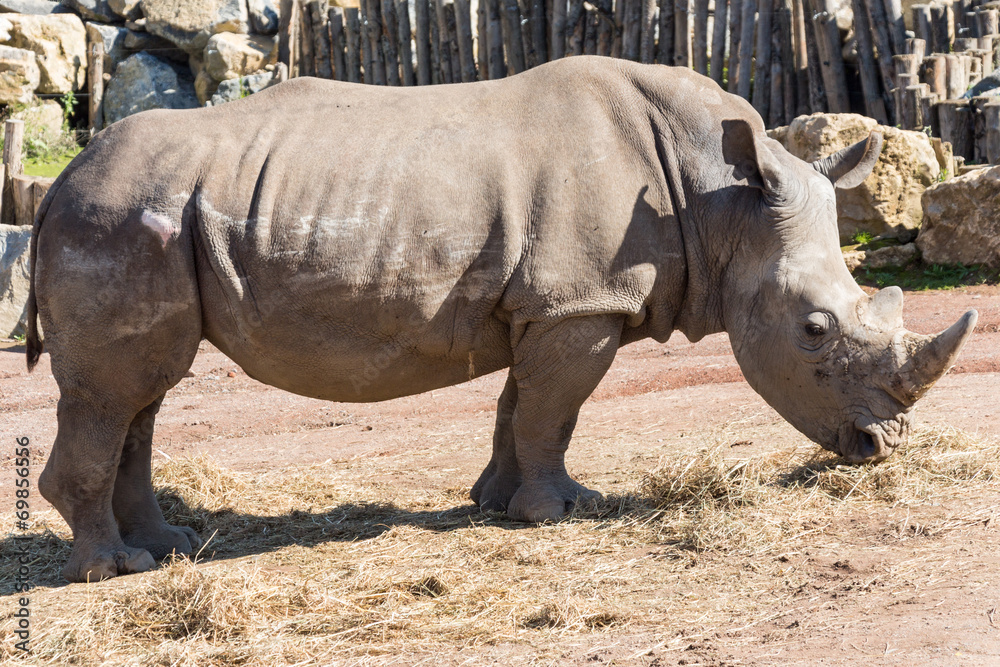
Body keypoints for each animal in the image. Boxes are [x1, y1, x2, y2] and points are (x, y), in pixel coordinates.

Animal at [25, 57, 976, 583]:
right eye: (814, 329)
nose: (879, 448)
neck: (720, 201)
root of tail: (56, 184)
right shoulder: (580, 302)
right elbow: (556, 409)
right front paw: (563, 512)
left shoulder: (549, 303)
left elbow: (522, 404)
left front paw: (496, 502)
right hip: (117, 216)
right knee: (116, 393)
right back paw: (113, 571)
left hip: (140, 218)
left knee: (142, 394)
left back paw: (171, 547)